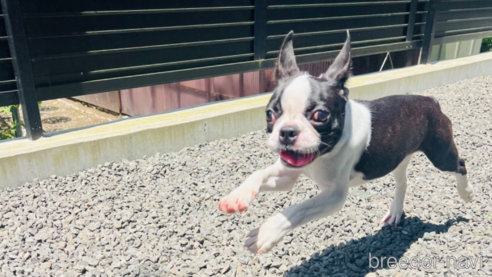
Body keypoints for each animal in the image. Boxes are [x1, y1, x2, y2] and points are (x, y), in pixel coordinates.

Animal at [218, 30, 472, 252]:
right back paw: (396, 211)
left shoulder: (334, 196)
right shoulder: (288, 174)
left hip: (440, 153)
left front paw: (266, 232)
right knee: (403, 181)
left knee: (460, 164)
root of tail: (430, 101)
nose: (287, 132)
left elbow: (298, 210)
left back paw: (466, 193)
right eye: (270, 114)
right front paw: (237, 196)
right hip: (399, 157)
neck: (322, 155)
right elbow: (258, 174)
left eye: (320, 115)